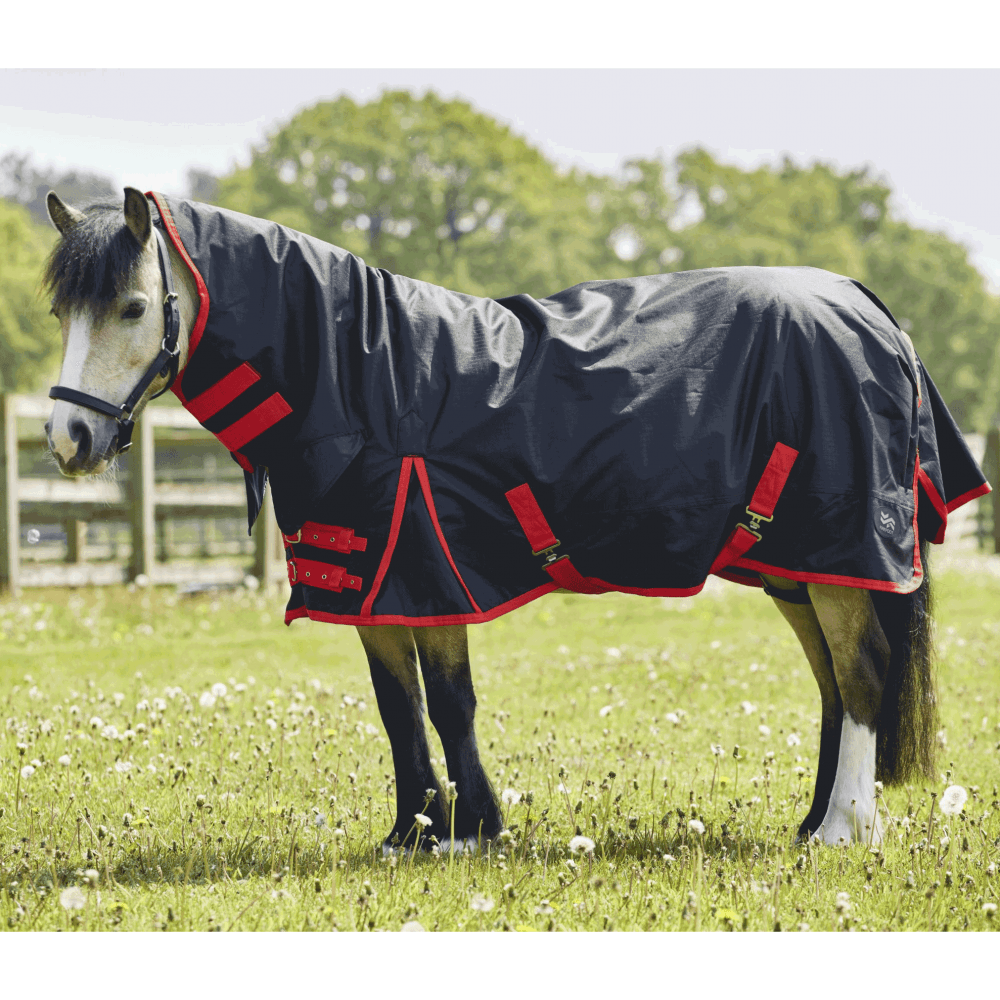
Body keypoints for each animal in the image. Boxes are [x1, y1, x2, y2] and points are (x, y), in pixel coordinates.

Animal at [42, 187, 991, 854]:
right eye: (60, 312)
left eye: (133, 307)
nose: (67, 439)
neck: (362, 374)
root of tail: (866, 307)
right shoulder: (374, 586)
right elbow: (399, 706)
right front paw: (412, 833)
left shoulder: (428, 567)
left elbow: (450, 702)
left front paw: (471, 831)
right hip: (798, 563)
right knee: (833, 684)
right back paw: (814, 818)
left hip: (841, 552)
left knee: (862, 675)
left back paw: (844, 829)